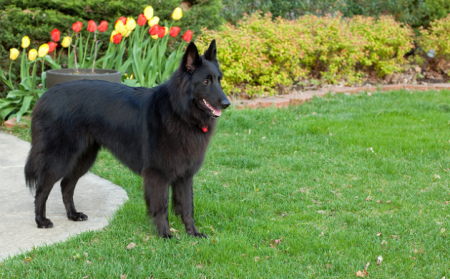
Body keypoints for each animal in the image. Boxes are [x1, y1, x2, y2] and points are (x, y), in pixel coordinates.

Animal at [24, 40, 229, 240]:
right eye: (205, 81)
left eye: (219, 80)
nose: (227, 103)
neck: (179, 111)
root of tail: (45, 96)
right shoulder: (158, 174)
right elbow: (161, 207)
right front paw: (165, 235)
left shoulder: (185, 175)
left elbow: (187, 207)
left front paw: (193, 233)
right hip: (59, 158)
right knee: (42, 188)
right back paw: (41, 220)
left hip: (84, 158)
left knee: (66, 184)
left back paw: (73, 215)